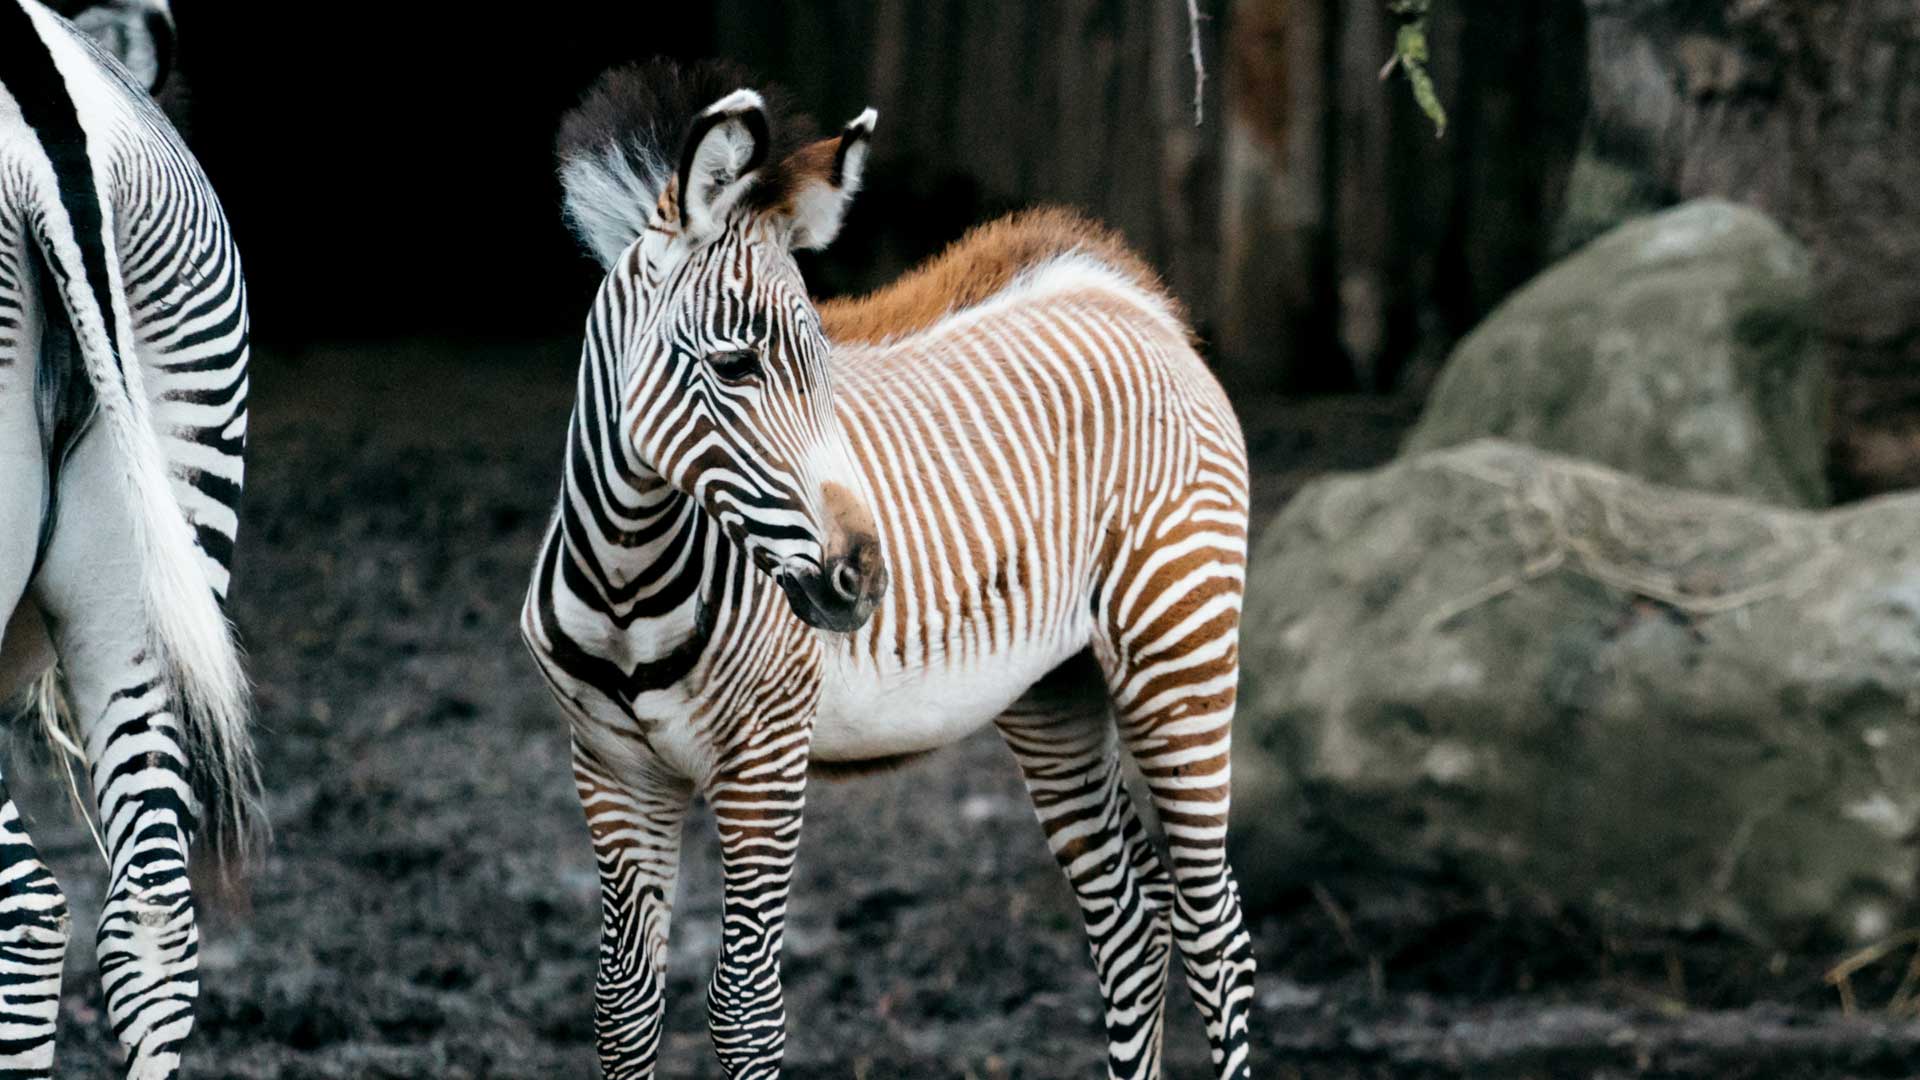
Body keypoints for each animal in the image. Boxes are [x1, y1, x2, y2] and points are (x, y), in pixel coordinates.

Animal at [518, 61, 1259, 1076]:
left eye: (825, 361)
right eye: (735, 366)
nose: (862, 579)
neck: (630, 576)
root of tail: (1121, 295)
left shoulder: (764, 760)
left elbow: (745, 1008)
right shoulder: (610, 769)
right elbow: (622, 1006)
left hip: (1179, 648)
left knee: (1214, 932)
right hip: (1053, 688)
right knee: (1131, 924)